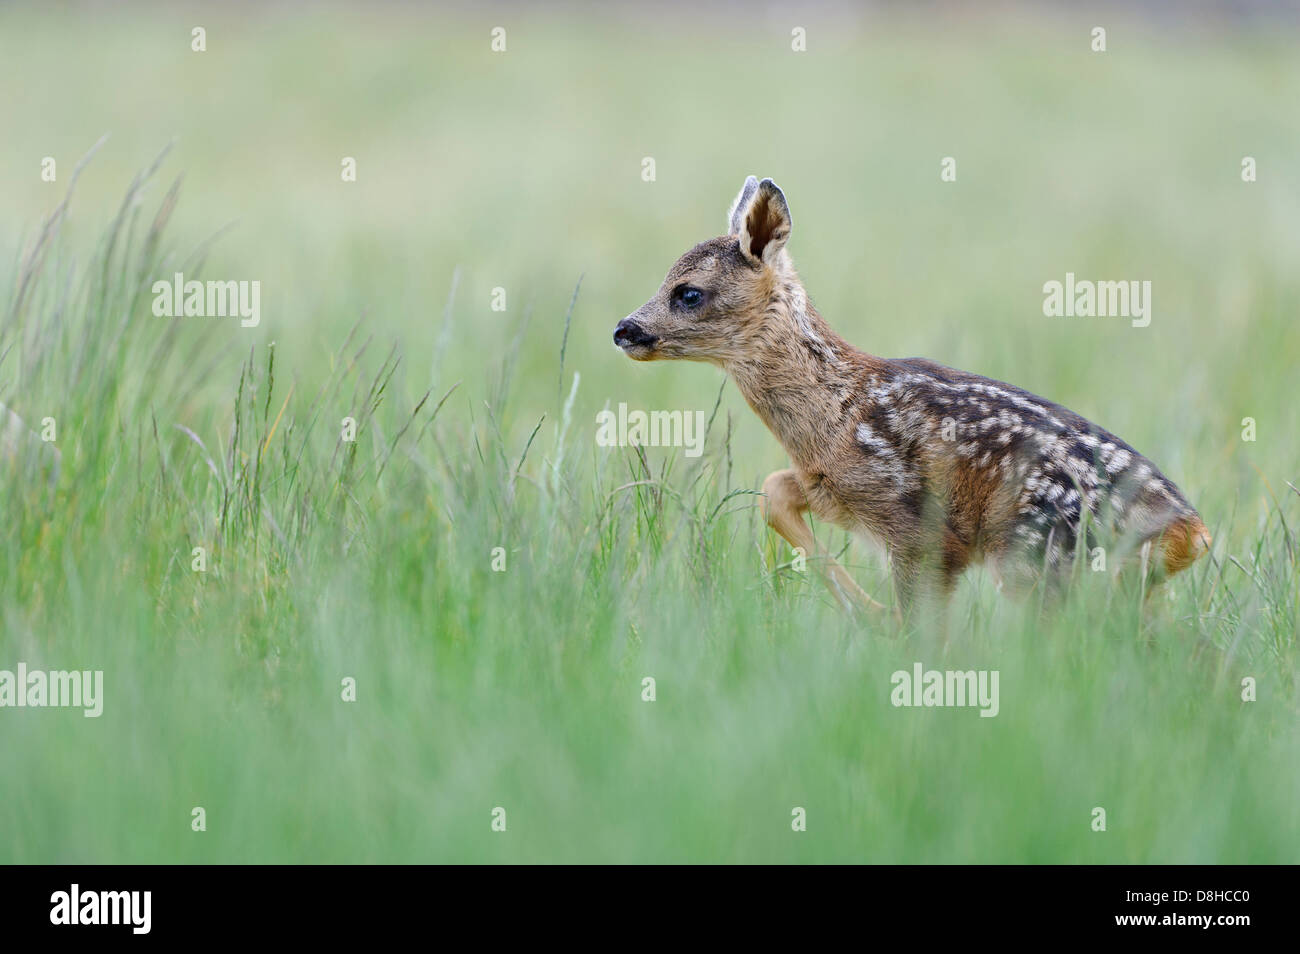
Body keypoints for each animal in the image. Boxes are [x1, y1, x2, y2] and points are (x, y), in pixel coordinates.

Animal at [613, 175, 1211, 616]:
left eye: (688, 292)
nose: (624, 329)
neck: (837, 412)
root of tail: (1192, 531)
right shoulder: (835, 491)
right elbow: (772, 492)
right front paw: (865, 613)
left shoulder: (918, 527)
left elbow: (918, 629)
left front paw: (875, 621)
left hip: (1041, 557)